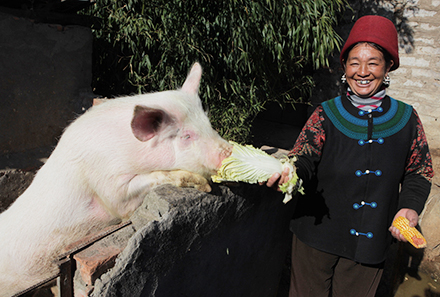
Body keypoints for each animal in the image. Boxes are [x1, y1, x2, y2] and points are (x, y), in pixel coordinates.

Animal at [0, 61, 234, 294]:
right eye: (186, 136)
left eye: (208, 123)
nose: (230, 150)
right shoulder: (110, 186)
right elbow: (126, 199)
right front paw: (204, 186)